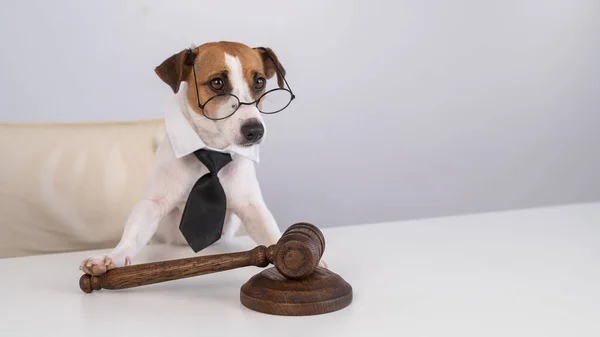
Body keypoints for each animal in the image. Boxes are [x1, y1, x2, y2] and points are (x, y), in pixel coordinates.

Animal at [79, 40, 326, 276]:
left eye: (259, 82)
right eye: (217, 83)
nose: (255, 130)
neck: (212, 150)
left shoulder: (251, 206)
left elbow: (271, 232)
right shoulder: (153, 203)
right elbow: (133, 234)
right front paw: (111, 257)